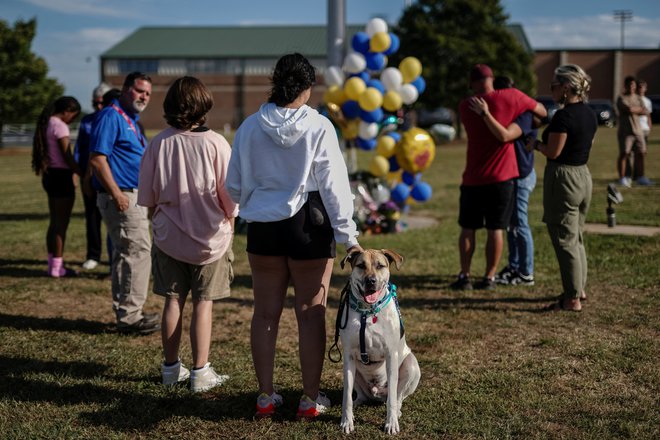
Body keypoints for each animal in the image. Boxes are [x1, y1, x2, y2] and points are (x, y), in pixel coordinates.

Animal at [338, 249, 420, 434]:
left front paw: (391, 423)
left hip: (411, 365)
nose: (371, 281)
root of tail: (376, 393)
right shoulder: (348, 356)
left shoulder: (391, 355)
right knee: (360, 395)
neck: (367, 312)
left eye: (380, 266)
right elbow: (346, 395)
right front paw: (347, 421)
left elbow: (392, 398)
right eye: (361, 265)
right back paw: (357, 404)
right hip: (353, 372)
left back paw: (397, 411)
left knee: (397, 396)